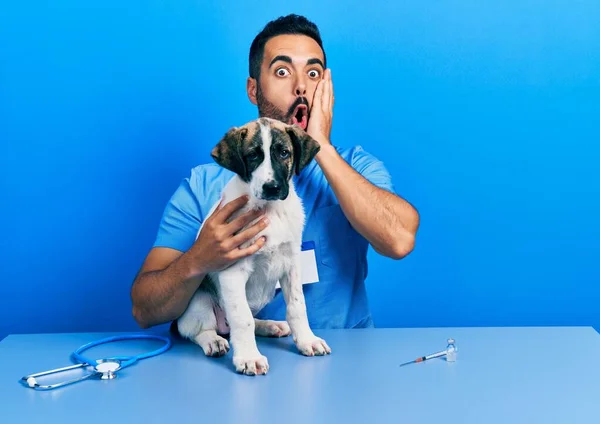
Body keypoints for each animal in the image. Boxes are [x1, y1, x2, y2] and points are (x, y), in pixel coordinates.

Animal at [176, 116, 330, 374]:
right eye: (252, 155)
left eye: (284, 153)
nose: (272, 188)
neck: (270, 210)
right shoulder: (232, 270)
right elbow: (242, 319)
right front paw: (249, 357)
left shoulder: (292, 265)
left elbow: (297, 306)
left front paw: (307, 340)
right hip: (199, 300)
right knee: (198, 329)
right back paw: (214, 341)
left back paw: (270, 325)